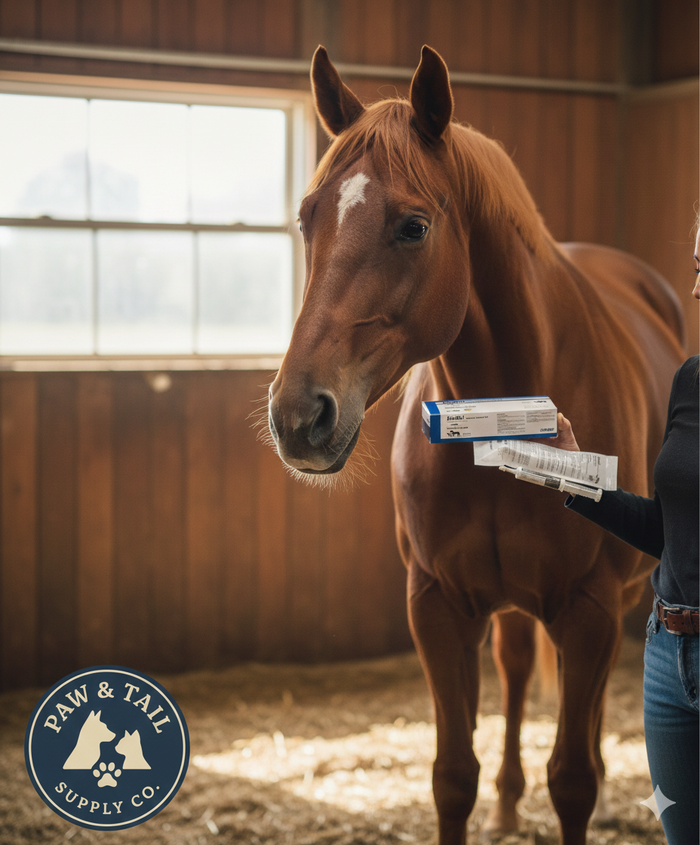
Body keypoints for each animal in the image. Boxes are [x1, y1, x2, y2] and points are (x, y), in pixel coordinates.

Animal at [267, 45, 685, 845]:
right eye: (307, 218)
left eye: (413, 226)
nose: (299, 415)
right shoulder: (436, 604)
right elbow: (452, 775)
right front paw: (488, 795)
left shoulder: (588, 608)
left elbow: (574, 780)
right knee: (518, 666)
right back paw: (508, 801)